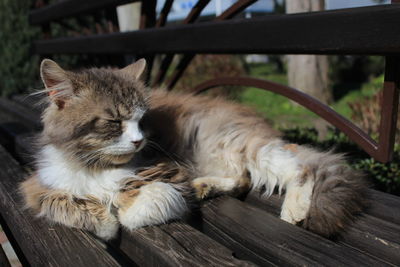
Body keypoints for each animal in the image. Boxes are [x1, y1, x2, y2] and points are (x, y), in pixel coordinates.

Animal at [20, 58, 368, 241]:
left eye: (142, 120)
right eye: (114, 121)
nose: (139, 140)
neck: (96, 165)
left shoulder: (168, 171)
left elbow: (141, 203)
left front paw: (120, 212)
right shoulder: (39, 186)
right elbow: (67, 205)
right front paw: (103, 220)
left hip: (239, 144)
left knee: (300, 167)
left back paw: (293, 210)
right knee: (241, 179)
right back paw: (204, 186)